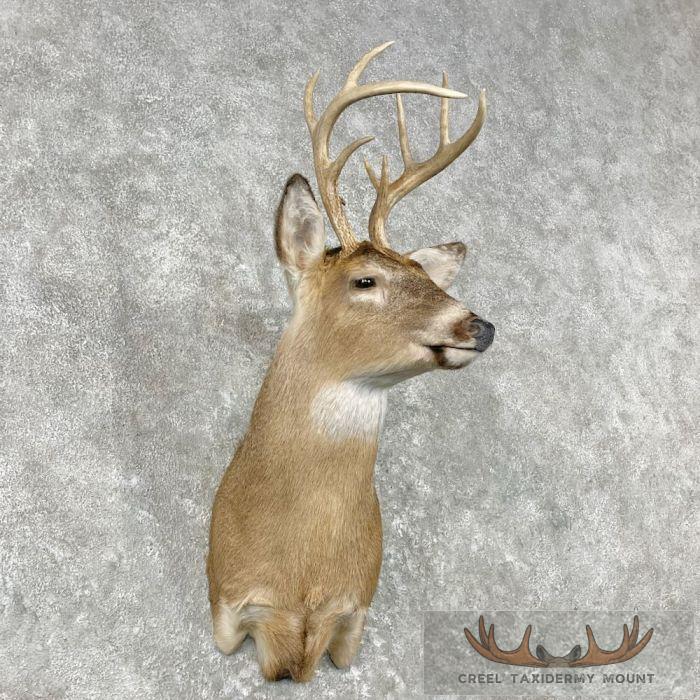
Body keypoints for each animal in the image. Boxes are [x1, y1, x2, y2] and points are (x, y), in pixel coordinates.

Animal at [207, 42, 495, 683]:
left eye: (426, 278)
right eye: (365, 280)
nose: (480, 326)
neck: (303, 578)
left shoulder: (354, 616)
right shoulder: (227, 604)